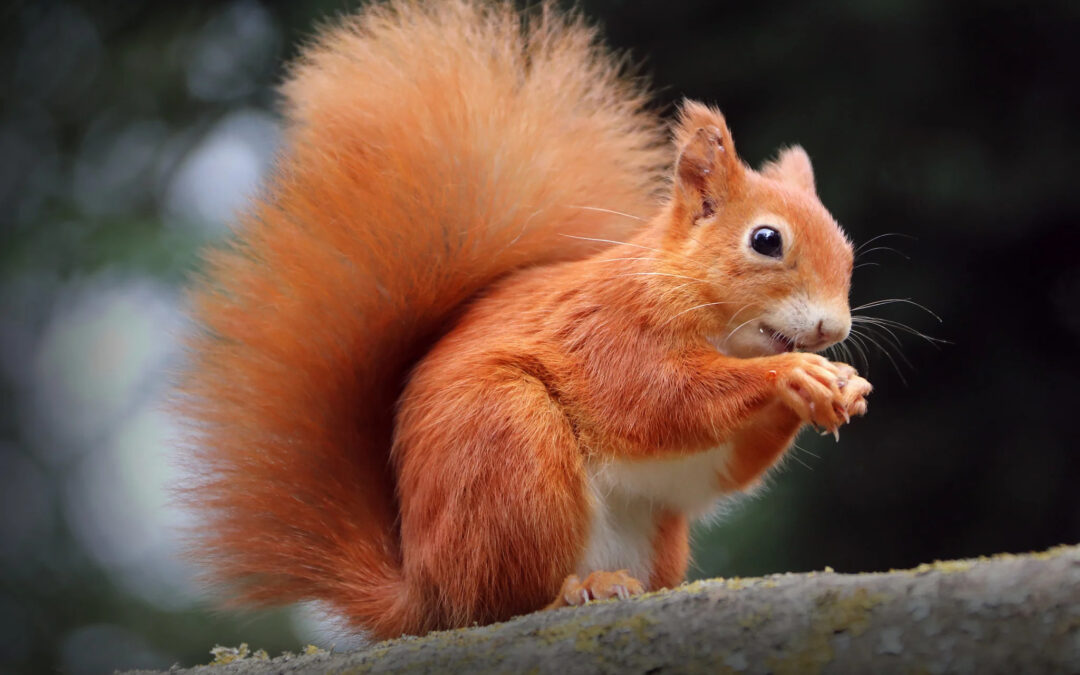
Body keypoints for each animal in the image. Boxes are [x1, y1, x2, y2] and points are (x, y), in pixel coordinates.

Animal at [177, 0, 868, 639]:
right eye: (765, 241)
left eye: (849, 251)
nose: (833, 331)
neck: (701, 309)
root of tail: (425, 595)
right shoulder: (611, 332)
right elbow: (660, 399)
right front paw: (794, 373)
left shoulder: (684, 464)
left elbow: (713, 471)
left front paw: (840, 389)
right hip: (510, 444)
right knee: (503, 600)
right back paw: (575, 590)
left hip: (648, 531)